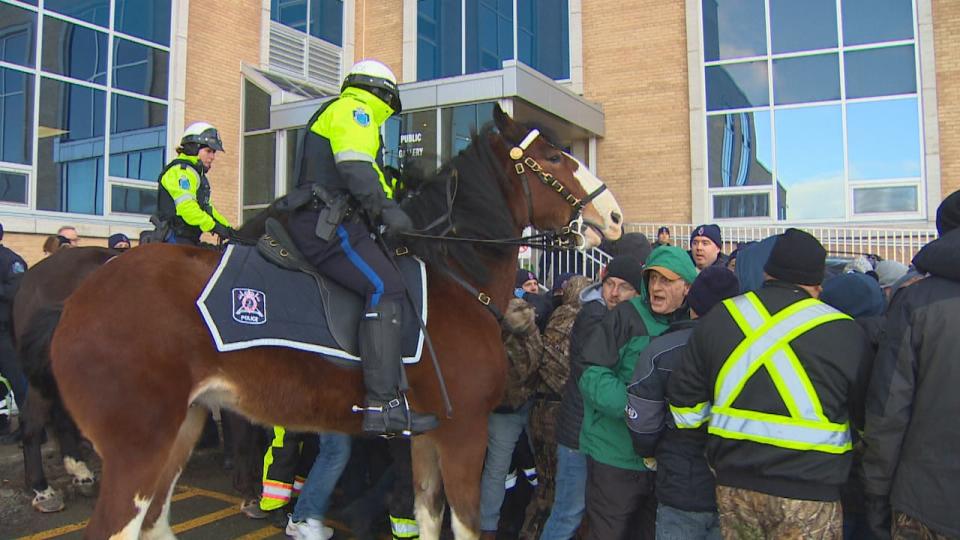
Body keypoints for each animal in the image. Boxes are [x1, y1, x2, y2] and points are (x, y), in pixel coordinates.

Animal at [45, 106, 624, 540]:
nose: (614, 216)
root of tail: (78, 295)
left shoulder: (428, 435)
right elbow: (462, 524)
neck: (452, 275)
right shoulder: (465, 432)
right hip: (138, 448)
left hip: (181, 430)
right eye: (554, 156)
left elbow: (426, 516)